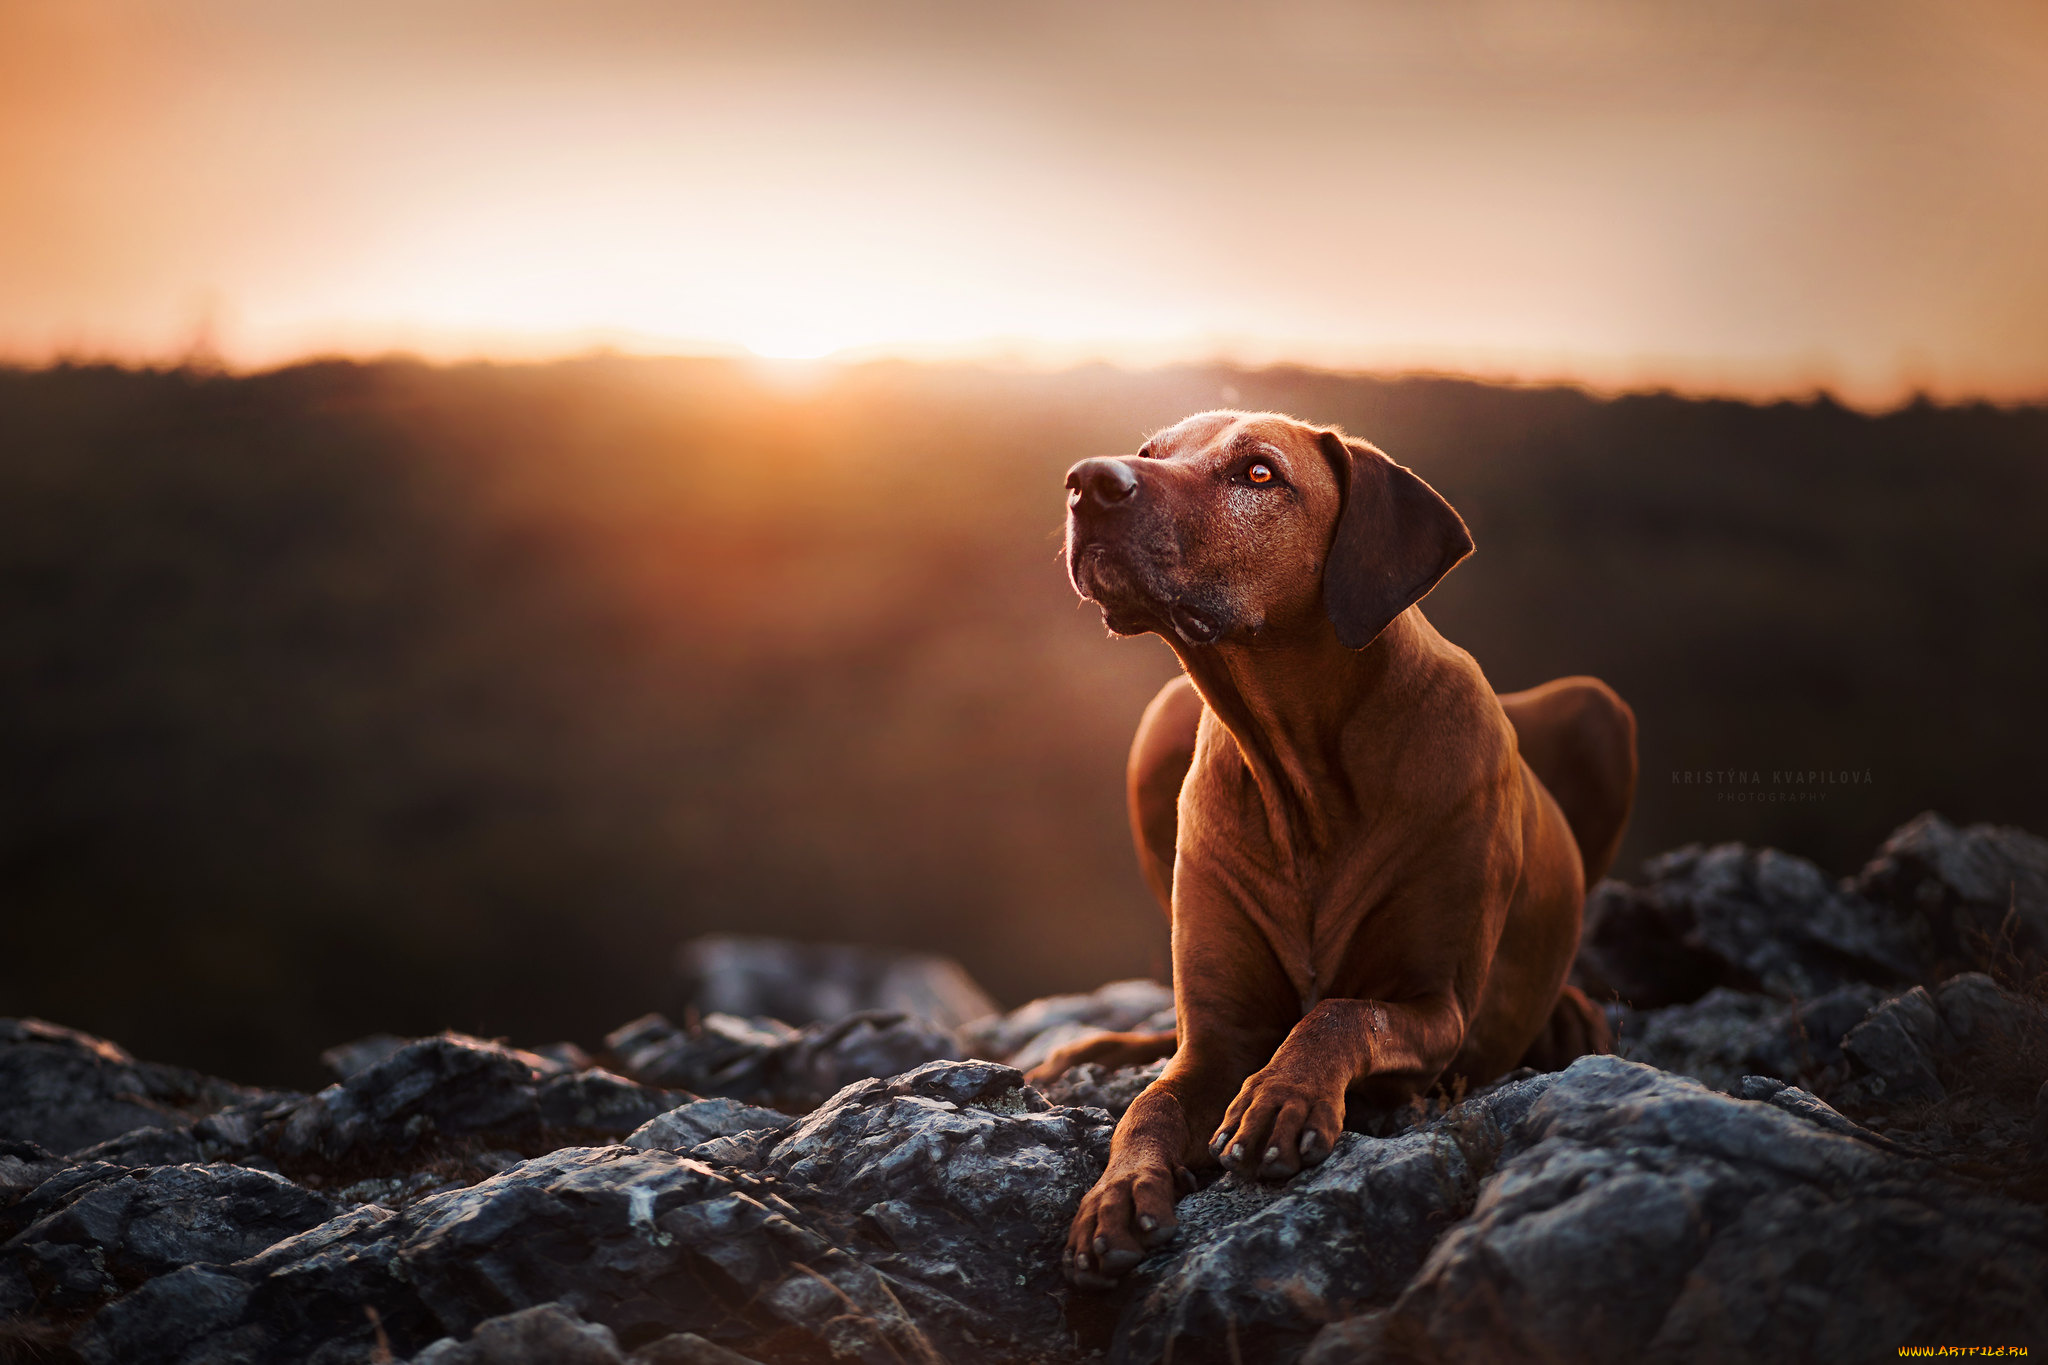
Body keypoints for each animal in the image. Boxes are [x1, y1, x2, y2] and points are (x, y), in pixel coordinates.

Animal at [1040, 411, 1630, 1285]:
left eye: (1258, 473)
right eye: (1150, 453)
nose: (1087, 481)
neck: (1303, 776)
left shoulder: (1439, 1008)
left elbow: (1342, 1012)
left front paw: (1282, 1097)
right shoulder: (1215, 1041)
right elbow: (1149, 1103)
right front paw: (1114, 1195)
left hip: (1599, 708)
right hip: (1157, 722)